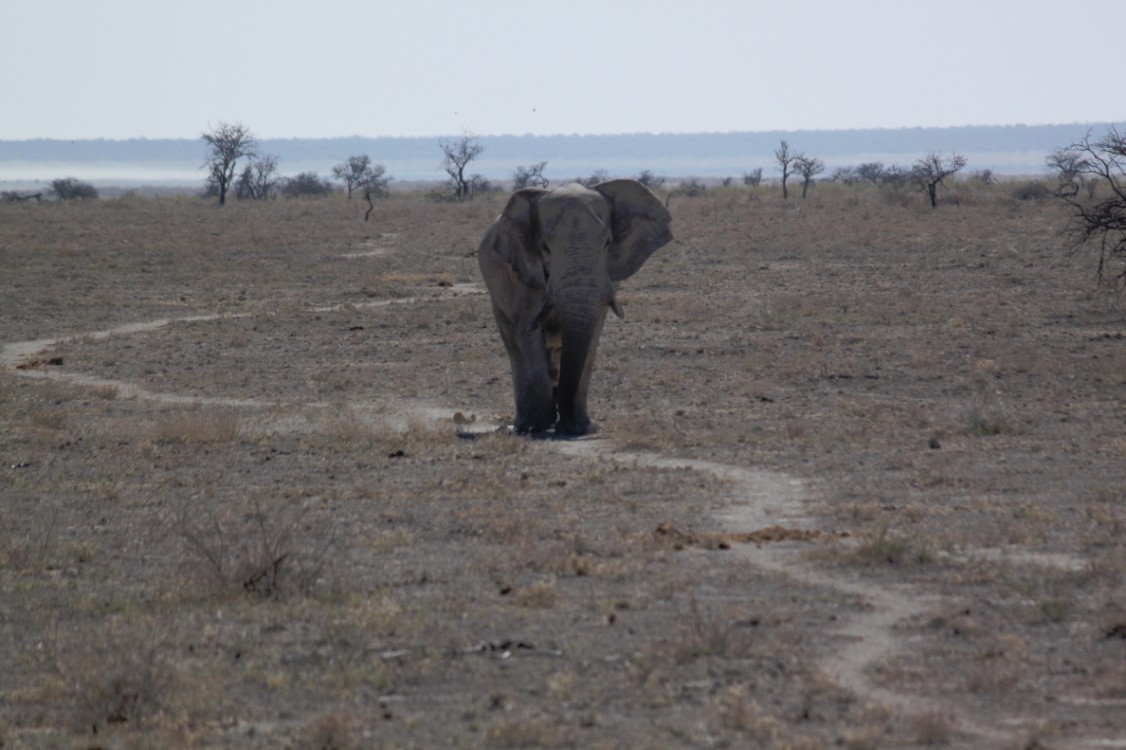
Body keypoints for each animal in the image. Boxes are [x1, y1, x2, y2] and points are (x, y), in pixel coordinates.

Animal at [479, 179, 671, 434]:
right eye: (545, 247)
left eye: (607, 243)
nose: (569, 425)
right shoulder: (522, 274)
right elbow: (528, 334)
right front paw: (538, 426)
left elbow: (592, 337)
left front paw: (579, 427)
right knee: (514, 345)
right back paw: (524, 424)